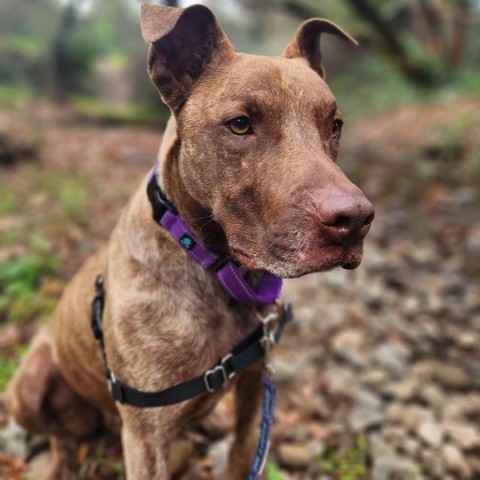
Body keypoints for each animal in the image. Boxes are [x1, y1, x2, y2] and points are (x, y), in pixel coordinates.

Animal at [6, 4, 376, 480]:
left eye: (335, 126)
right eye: (240, 125)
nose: (355, 219)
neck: (211, 267)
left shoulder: (254, 382)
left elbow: (241, 453)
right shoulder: (146, 437)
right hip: (29, 384)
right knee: (60, 433)